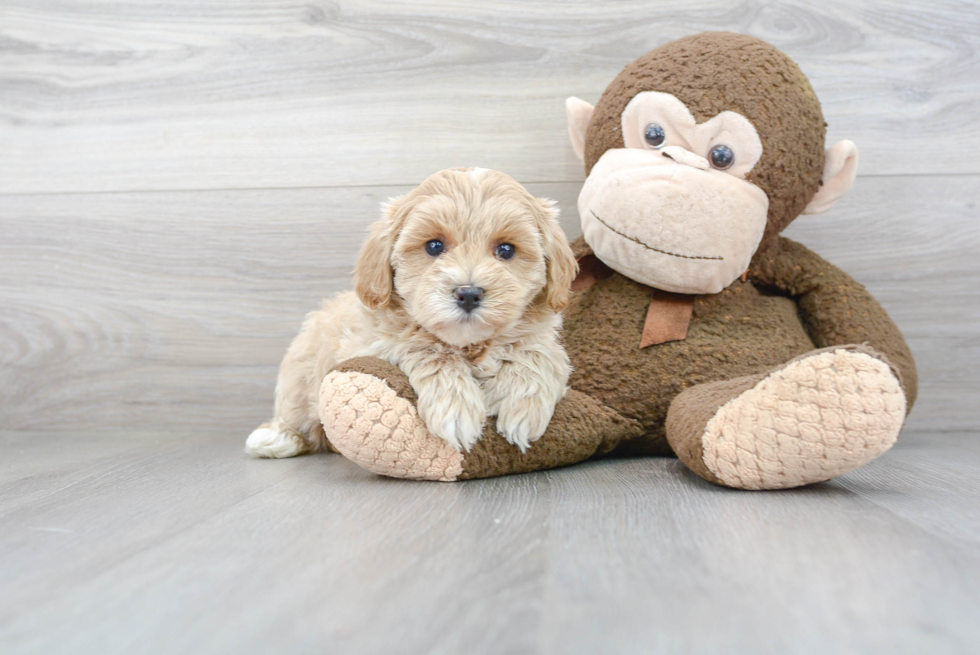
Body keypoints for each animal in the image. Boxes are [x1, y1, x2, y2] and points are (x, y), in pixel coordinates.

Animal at [249, 168, 580, 456]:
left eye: (507, 250)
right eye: (434, 246)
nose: (468, 293)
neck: (469, 345)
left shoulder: (542, 336)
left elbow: (539, 353)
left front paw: (522, 406)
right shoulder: (372, 344)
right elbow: (426, 348)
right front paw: (455, 409)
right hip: (300, 374)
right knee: (295, 412)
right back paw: (276, 437)